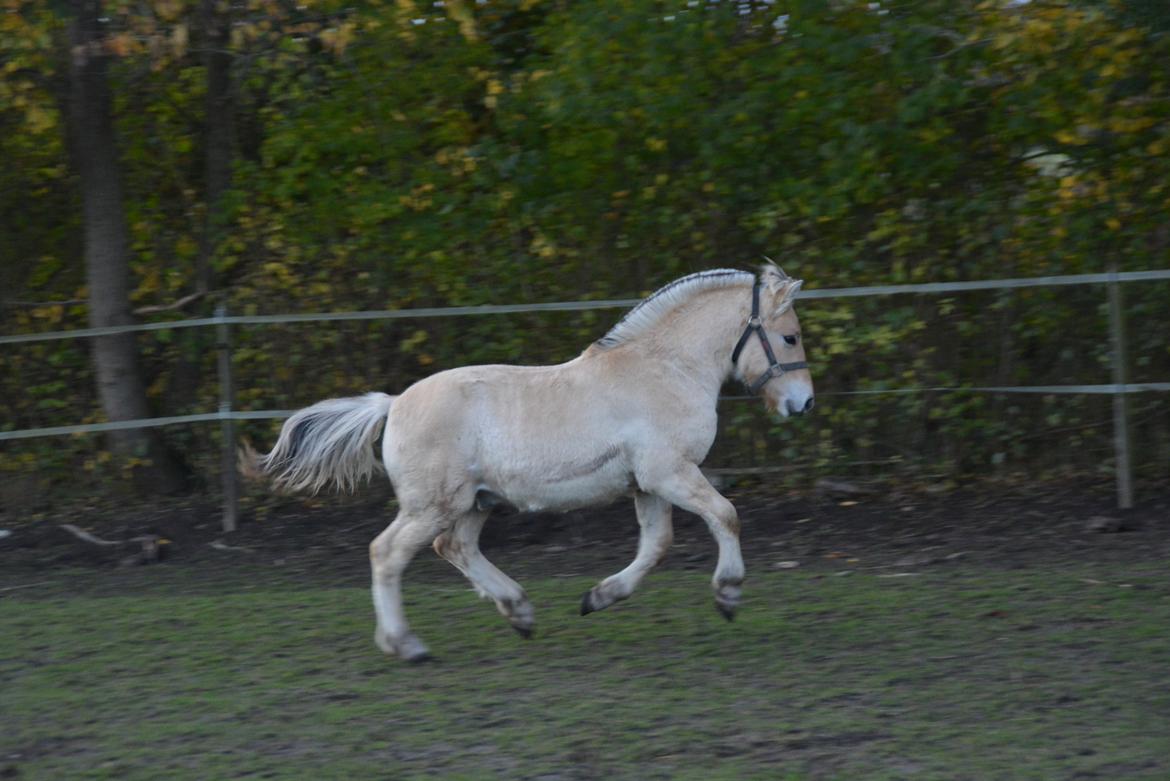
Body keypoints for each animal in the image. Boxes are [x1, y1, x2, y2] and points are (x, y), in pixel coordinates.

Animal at [246, 265, 814, 664]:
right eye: (789, 337)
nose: (803, 404)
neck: (665, 369)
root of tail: (394, 403)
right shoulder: (670, 474)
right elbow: (726, 515)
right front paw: (728, 595)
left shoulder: (648, 486)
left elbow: (657, 547)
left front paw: (597, 598)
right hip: (433, 505)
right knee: (386, 554)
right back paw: (409, 646)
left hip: (474, 503)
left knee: (454, 547)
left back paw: (519, 613)